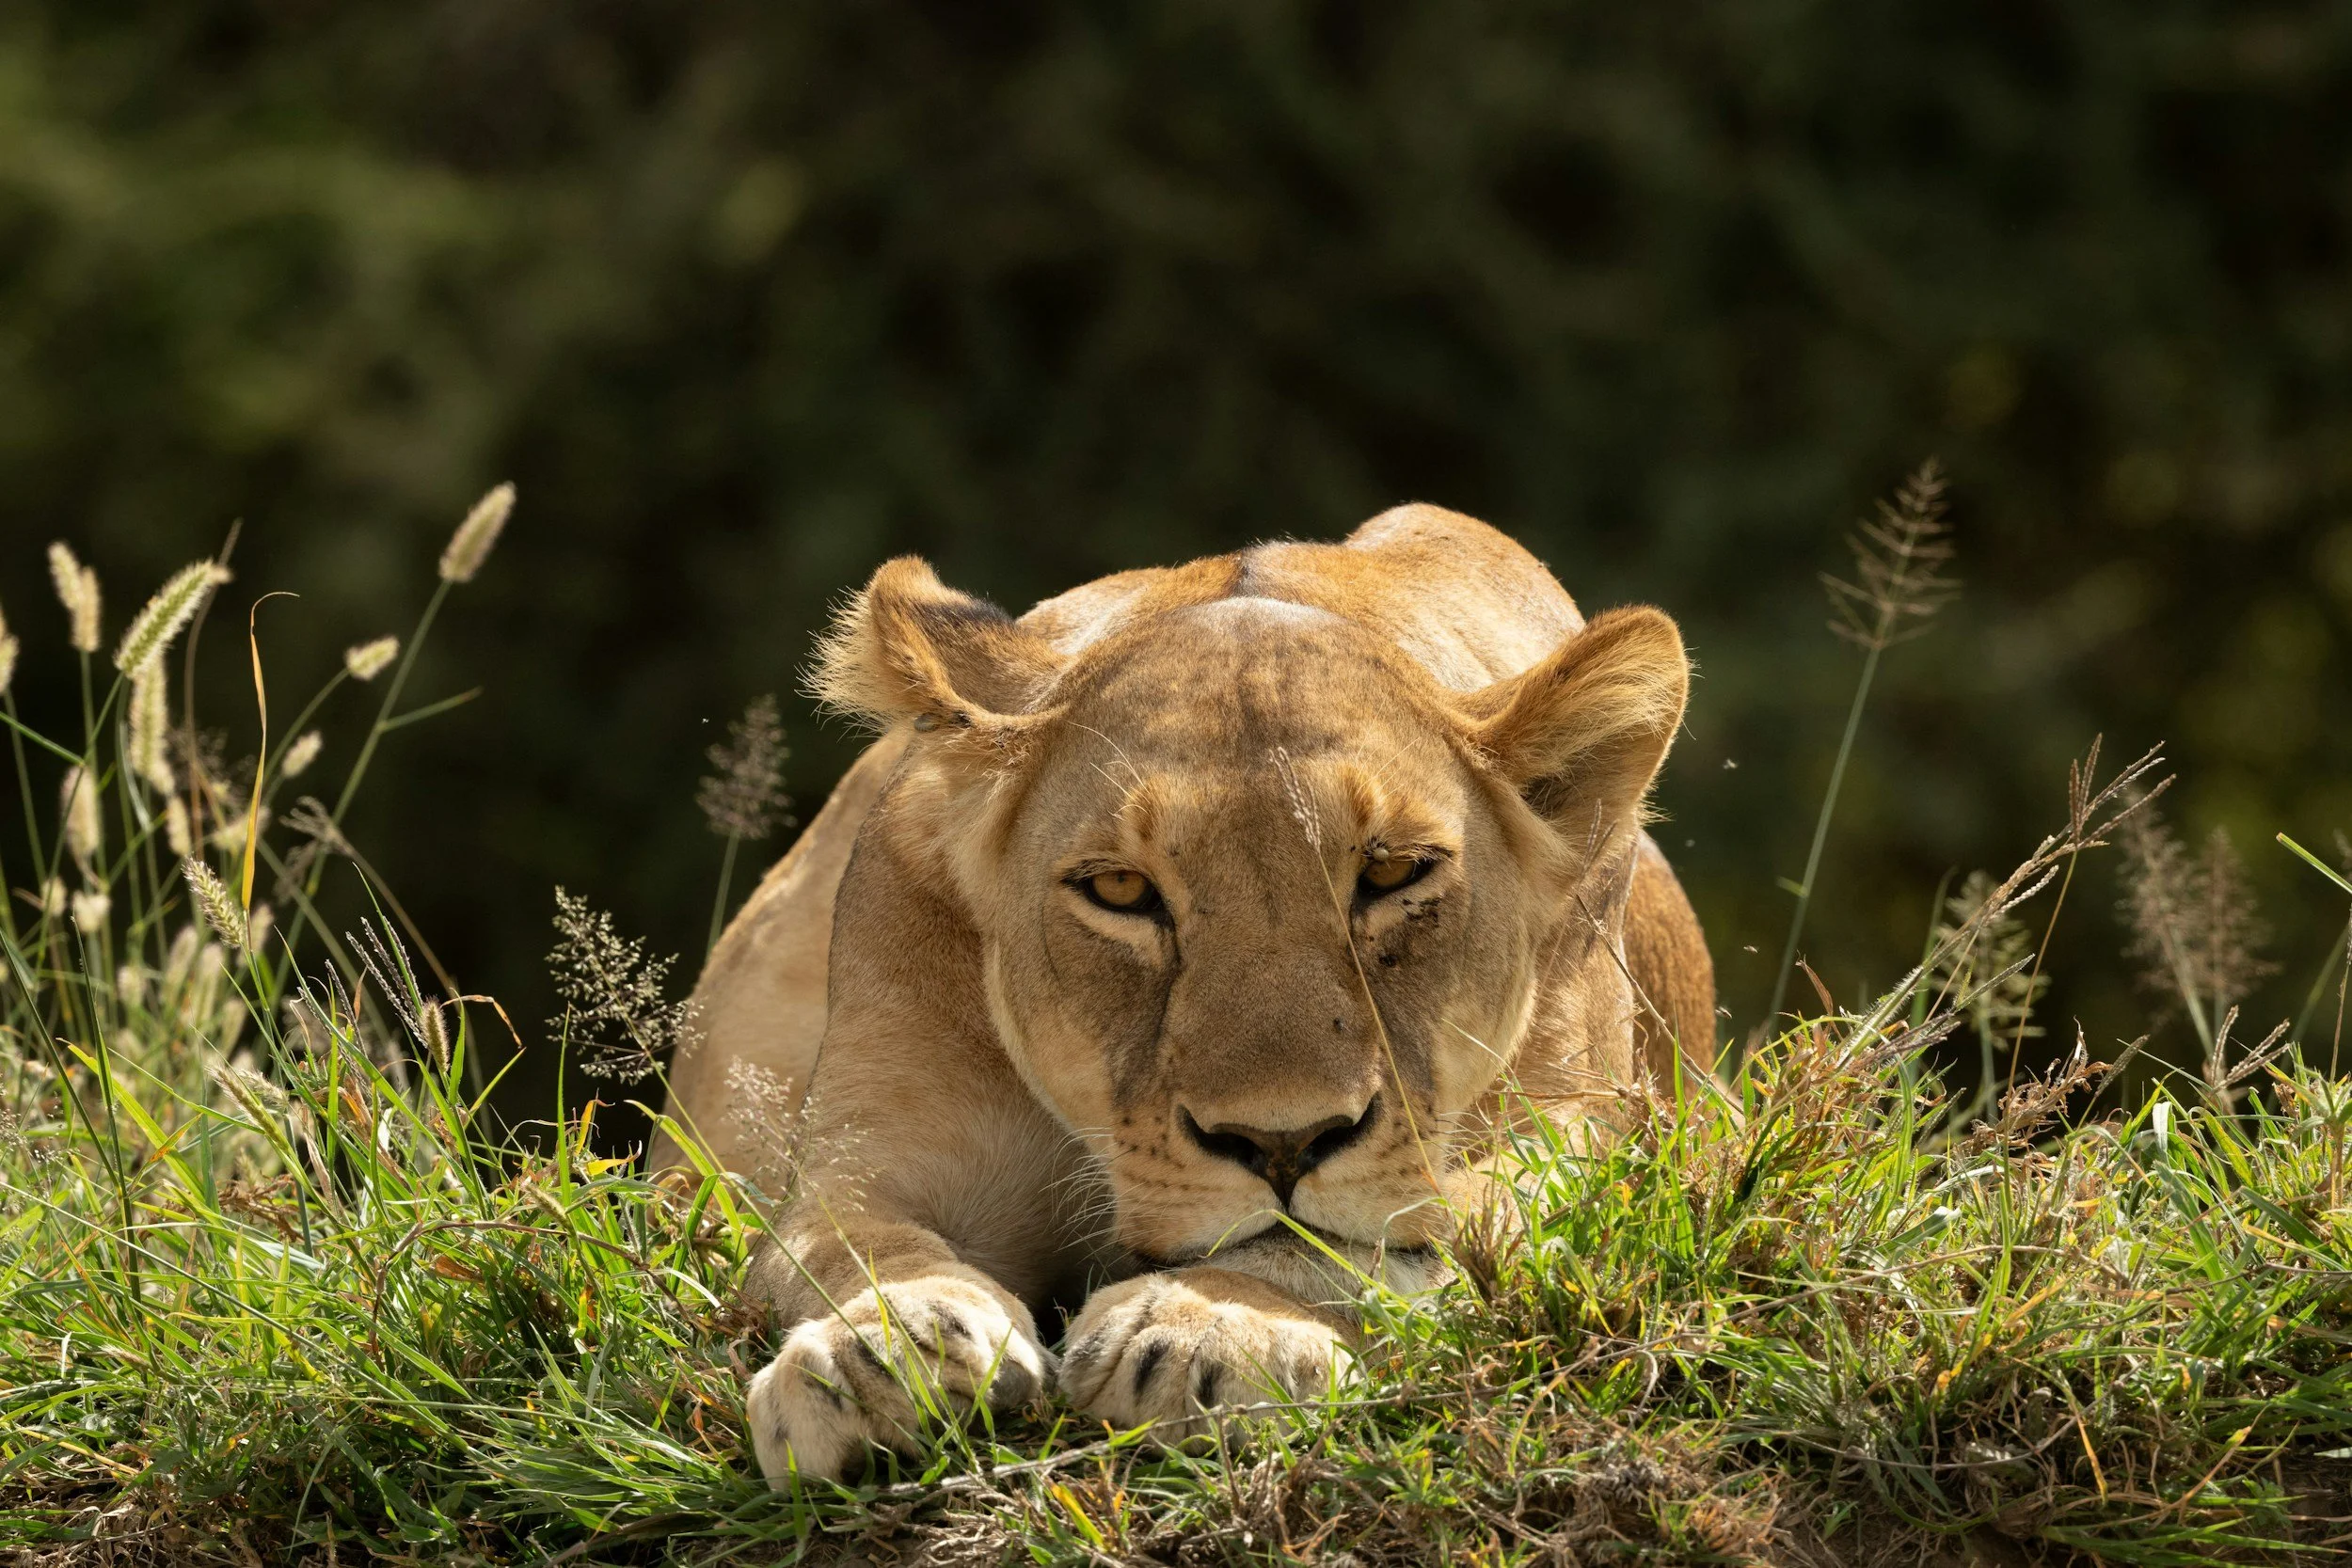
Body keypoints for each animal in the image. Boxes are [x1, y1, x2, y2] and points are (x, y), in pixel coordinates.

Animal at [655, 504, 1716, 1483]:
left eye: (1394, 871)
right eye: (1120, 888)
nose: (1282, 1142)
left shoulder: (1579, 1136)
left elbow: (1378, 1236)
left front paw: (1215, 1323)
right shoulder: (871, 1151)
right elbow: (838, 1243)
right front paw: (876, 1352)